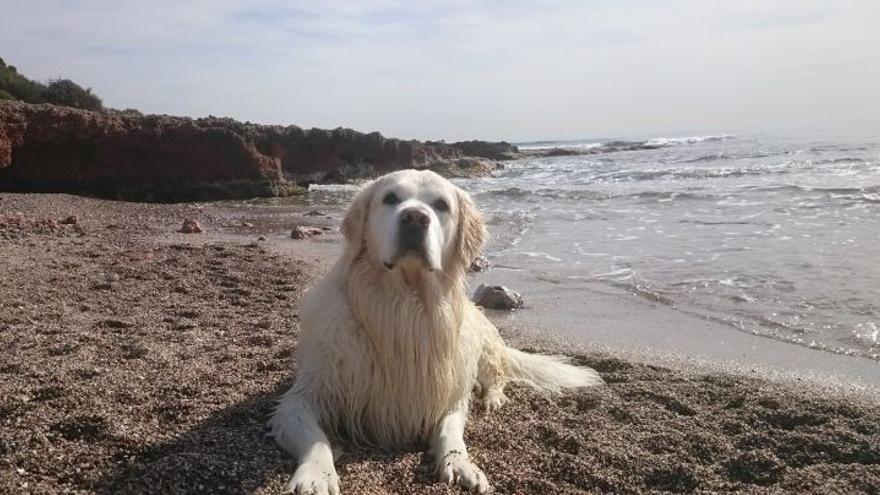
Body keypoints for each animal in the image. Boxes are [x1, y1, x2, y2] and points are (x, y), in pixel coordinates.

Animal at [270, 169, 604, 494]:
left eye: (441, 205)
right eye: (390, 198)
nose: (415, 218)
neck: (405, 307)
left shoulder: (447, 392)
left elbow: (450, 432)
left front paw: (459, 463)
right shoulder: (304, 396)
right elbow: (316, 438)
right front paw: (316, 474)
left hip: (482, 347)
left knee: (496, 376)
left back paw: (493, 398)